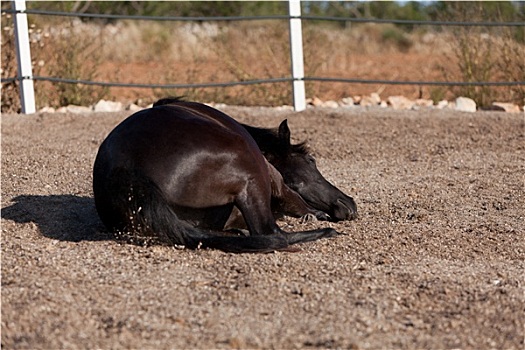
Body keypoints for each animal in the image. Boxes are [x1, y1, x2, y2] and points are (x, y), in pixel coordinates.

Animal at [93, 98, 356, 252]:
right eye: (311, 161)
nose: (348, 203)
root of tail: (128, 170)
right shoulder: (279, 183)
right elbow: (296, 201)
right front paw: (316, 215)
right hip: (252, 175)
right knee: (272, 234)